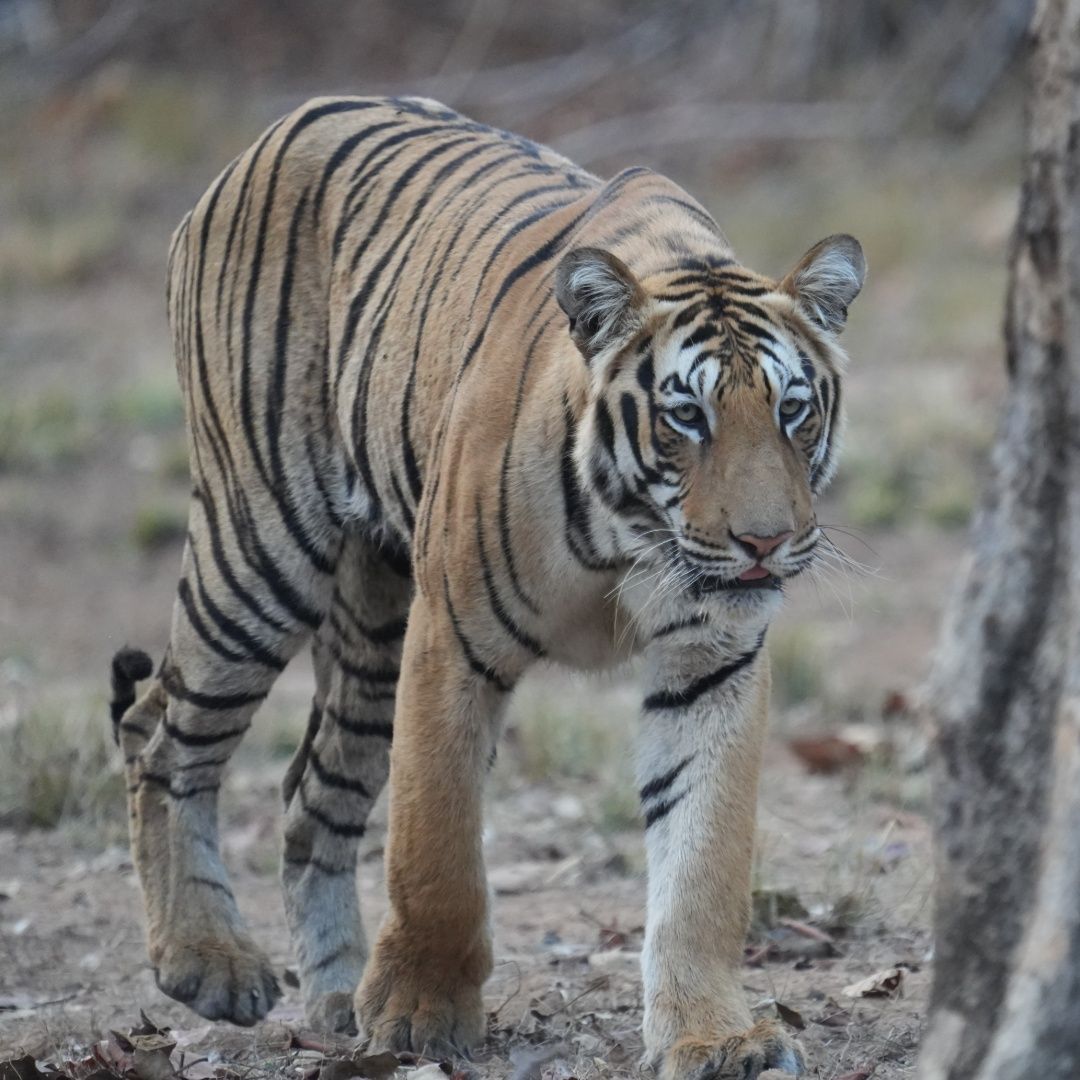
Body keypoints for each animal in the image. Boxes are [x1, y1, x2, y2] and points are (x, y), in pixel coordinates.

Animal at [110, 95, 863, 1080]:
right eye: (686, 416)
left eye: (792, 410)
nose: (765, 542)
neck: (634, 540)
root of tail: (277, 127)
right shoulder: (452, 637)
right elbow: (435, 847)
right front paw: (420, 1014)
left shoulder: (712, 659)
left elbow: (704, 861)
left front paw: (713, 1037)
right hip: (261, 548)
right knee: (159, 730)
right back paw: (210, 963)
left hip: (370, 624)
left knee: (312, 795)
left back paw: (334, 1001)